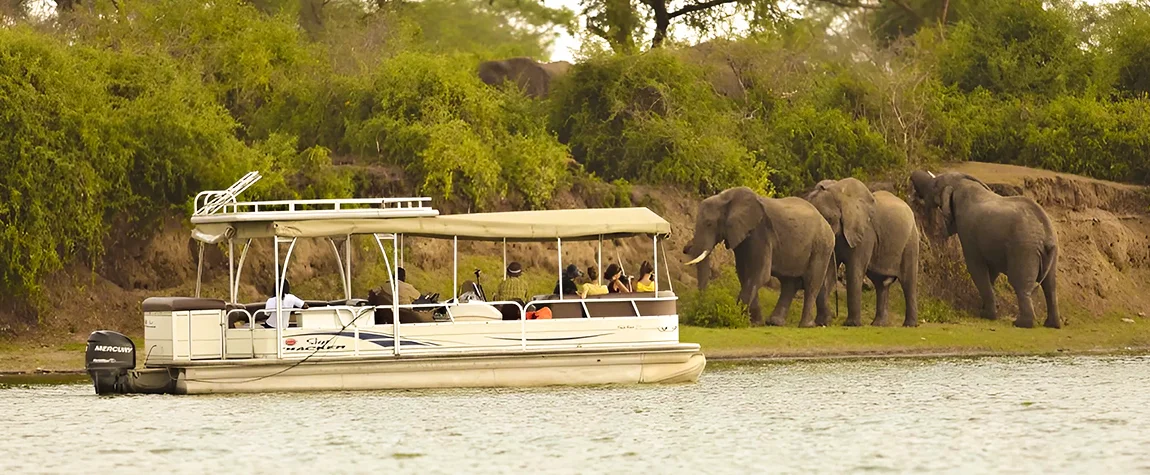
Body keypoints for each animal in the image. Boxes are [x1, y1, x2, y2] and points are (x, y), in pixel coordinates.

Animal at [680, 185, 837, 326]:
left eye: (709, 224)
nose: (685, 248)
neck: (726, 197)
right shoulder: (743, 236)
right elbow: (744, 274)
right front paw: (756, 323)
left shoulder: (761, 232)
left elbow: (760, 274)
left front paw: (737, 318)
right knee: (788, 284)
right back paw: (774, 322)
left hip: (822, 247)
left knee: (811, 284)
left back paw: (806, 325)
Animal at [805, 177, 920, 326]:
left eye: (828, 219)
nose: (835, 315)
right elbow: (828, 271)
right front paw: (823, 322)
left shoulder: (865, 233)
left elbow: (854, 270)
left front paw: (851, 324)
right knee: (881, 284)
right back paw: (878, 324)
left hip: (910, 241)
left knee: (907, 281)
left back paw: (909, 325)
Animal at [906, 170, 1058, 328]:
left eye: (935, 185)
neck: (961, 184)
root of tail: (1047, 232)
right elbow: (991, 272)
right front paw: (986, 310)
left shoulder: (967, 230)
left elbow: (976, 268)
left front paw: (986, 315)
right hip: (1048, 251)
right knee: (1050, 286)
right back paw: (1051, 324)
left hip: (1024, 248)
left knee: (1021, 284)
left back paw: (1021, 323)